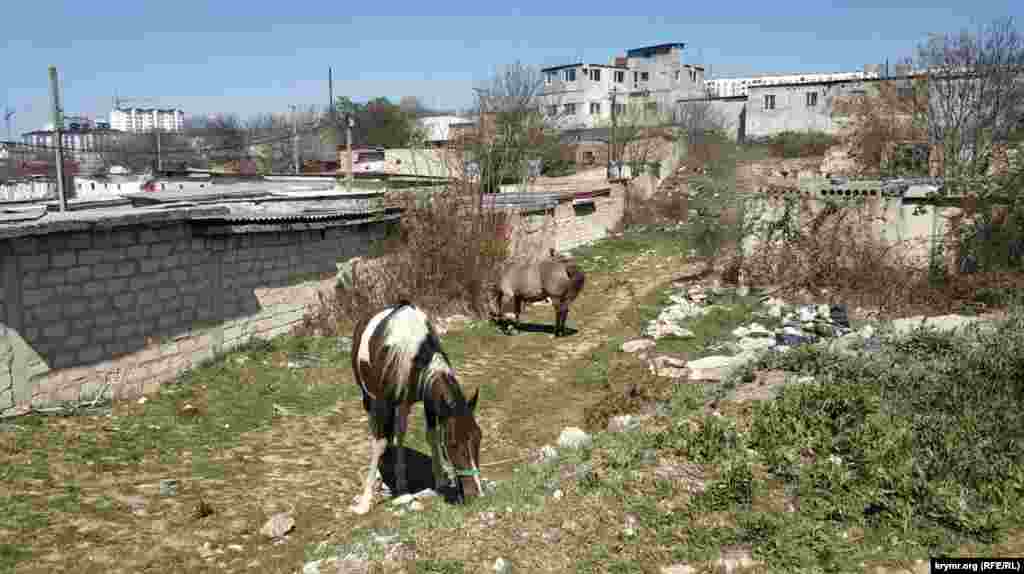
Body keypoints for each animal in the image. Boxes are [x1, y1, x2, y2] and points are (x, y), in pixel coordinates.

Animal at [350, 300, 481, 515]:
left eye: (479, 438)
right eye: (453, 443)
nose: (476, 493)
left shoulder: (430, 399)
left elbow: (432, 435)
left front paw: (440, 481)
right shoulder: (382, 402)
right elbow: (380, 443)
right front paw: (365, 501)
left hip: (403, 403)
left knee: (399, 433)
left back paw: (401, 484)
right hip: (368, 396)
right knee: (376, 431)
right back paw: (379, 479)